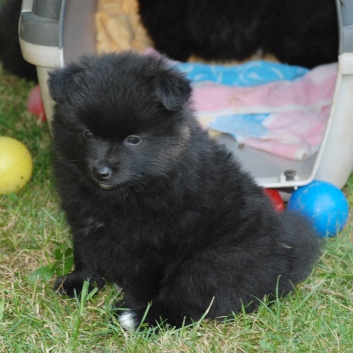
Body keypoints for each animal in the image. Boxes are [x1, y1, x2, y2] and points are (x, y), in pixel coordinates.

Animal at [48, 51, 320, 328]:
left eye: (133, 140)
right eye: (87, 133)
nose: (101, 171)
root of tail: (288, 259)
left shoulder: (153, 245)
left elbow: (143, 282)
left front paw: (134, 306)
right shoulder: (83, 221)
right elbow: (85, 254)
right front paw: (79, 282)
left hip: (209, 264)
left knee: (189, 305)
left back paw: (138, 319)